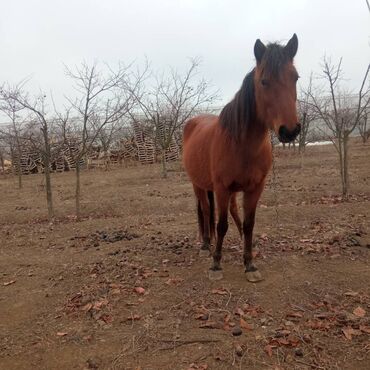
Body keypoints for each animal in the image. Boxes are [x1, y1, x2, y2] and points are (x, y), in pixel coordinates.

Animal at [183, 35, 300, 284]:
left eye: (295, 77)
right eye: (264, 81)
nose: (289, 131)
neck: (241, 144)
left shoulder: (255, 188)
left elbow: (249, 224)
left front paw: (250, 264)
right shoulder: (221, 187)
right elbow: (220, 224)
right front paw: (216, 265)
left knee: (234, 212)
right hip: (199, 185)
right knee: (206, 211)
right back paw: (206, 246)